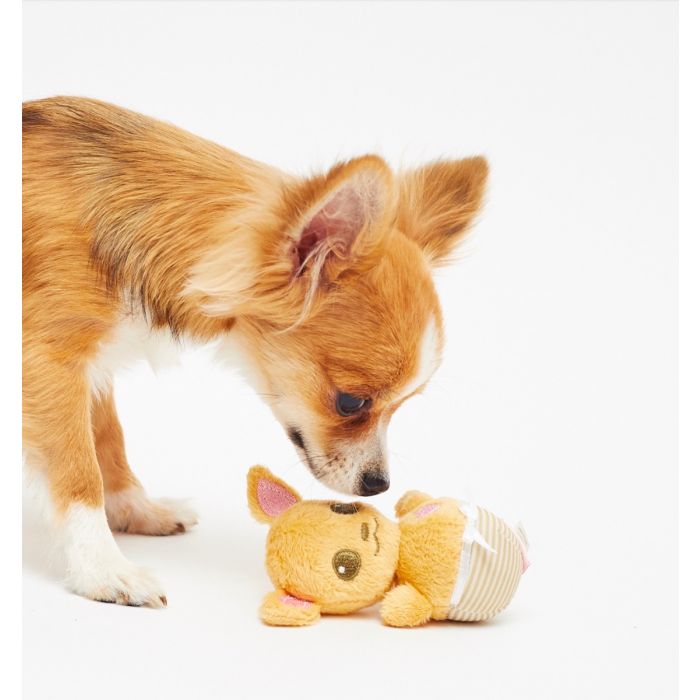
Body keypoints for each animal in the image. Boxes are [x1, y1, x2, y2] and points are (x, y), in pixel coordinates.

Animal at [24, 95, 490, 604]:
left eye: (403, 406)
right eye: (351, 402)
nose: (378, 485)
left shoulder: (93, 366)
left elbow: (108, 439)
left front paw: (134, 509)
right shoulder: (50, 362)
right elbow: (79, 470)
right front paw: (103, 568)